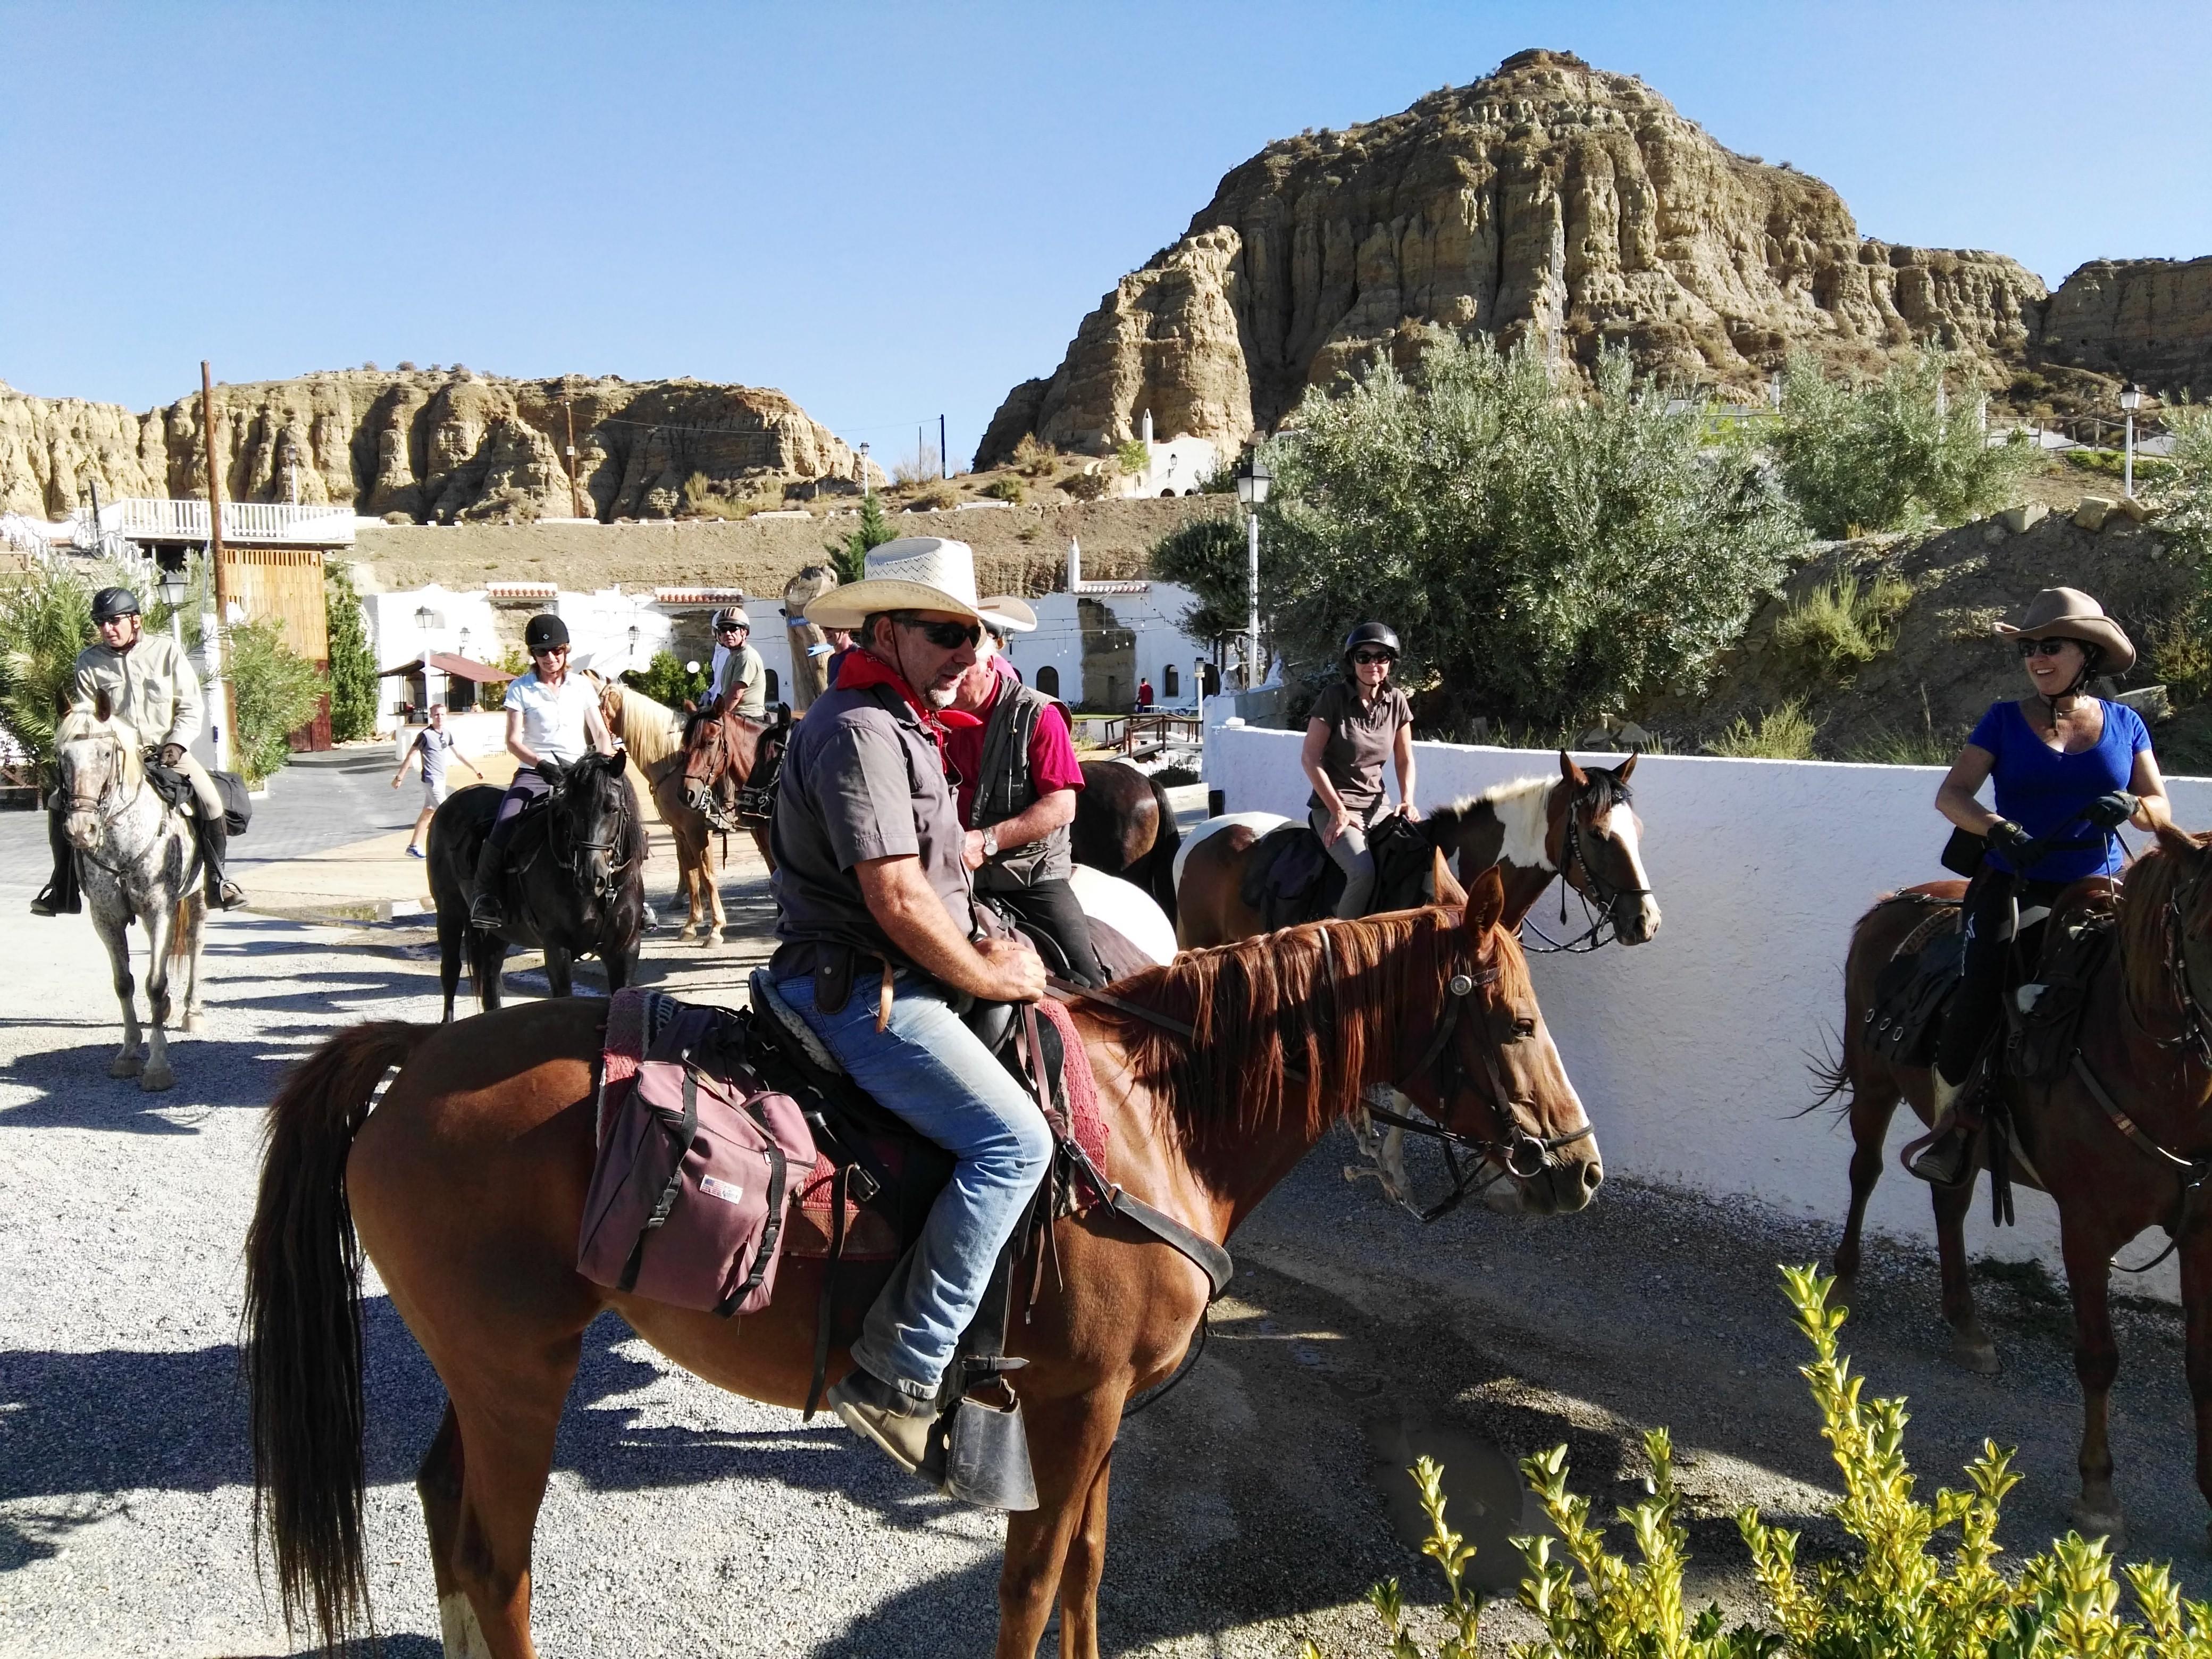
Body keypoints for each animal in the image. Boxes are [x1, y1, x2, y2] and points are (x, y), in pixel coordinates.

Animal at [242, 876, 1601, 1654]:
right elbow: (1033, 1582)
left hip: (489, 1368)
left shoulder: (1094, 1410)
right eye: (1518, 1020)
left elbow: (1085, 1574)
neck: (1149, 1119)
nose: (1578, 1170)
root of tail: (416, 1057)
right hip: (520, 1373)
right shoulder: (1075, 1404)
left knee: (443, 1509)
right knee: (495, 1558)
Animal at [424, 756, 646, 1021]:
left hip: (497, 934)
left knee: (490, 976)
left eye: (612, 808)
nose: (590, 878)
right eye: (571, 810)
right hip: (449, 913)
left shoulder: (625, 951)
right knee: (451, 971)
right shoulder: (557, 950)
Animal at [1822, 827, 2212, 1548]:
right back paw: (1842, 1285)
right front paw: (2096, 1492)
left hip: (1961, 1129)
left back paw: (1967, 1326)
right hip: (1873, 1083)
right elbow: (2097, 1356)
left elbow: (2200, 1368)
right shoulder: (2084, 1226)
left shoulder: (2201, 1229)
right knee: (1864, 1172)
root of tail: (1890, 904)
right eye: (2200, 931)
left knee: (1948, 1196)